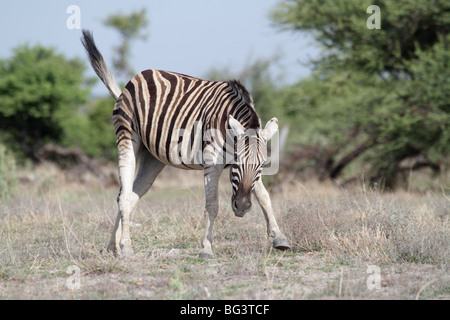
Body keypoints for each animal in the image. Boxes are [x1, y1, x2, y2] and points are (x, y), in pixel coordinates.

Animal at [81, 30, 290, 258]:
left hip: (153, 157)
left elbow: (264, 197)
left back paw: (113, 246)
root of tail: (136, 79)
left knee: (130, 197)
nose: (242, 207)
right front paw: (206, 248)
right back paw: (126, 247)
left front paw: (279, 238)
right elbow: (212, 204)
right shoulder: (212, 162)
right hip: (127, 137)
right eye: (236, 162)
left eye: (261, 166)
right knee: (124, 195)